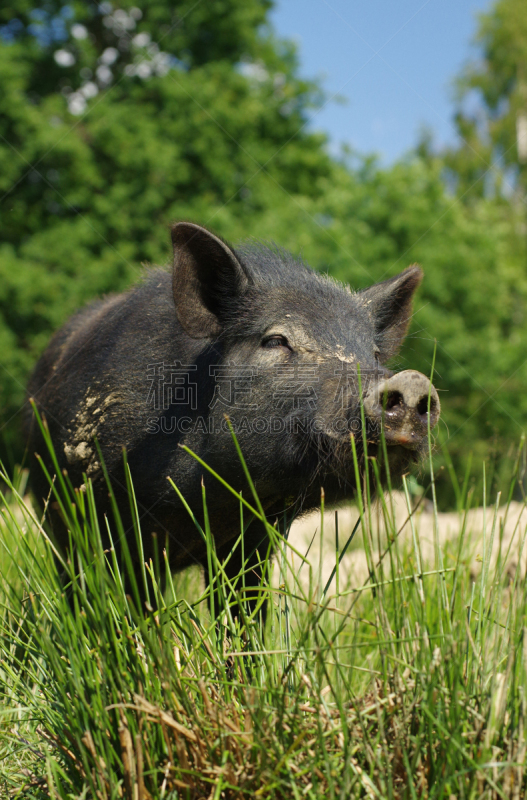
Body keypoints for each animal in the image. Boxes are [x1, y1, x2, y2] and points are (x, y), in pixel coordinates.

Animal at [27, 222, 442, 608]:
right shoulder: (113, 521)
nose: (414, 381)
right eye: (276, 340)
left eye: (373, 353)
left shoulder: (255, 540)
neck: (210, 502)